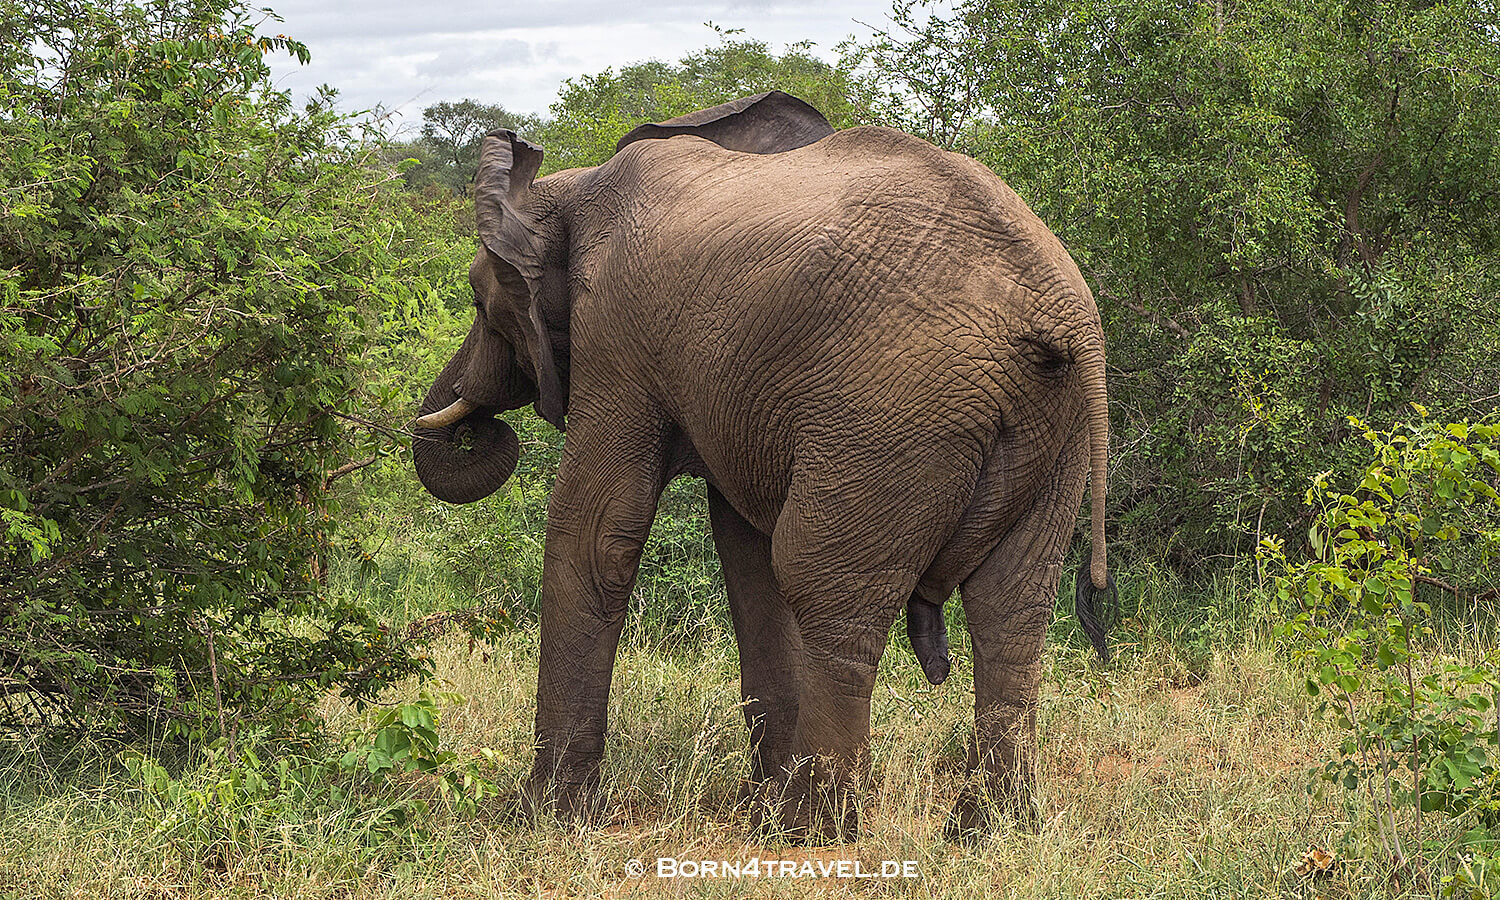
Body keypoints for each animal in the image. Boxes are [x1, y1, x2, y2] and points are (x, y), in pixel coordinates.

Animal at [411, 91, 1115, 842]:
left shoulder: (617, 332)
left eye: (479, 302)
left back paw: (816, 828)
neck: (572, 187)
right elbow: (745, 554)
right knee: (1011, 610)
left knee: (826, 585)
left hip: (896, 410)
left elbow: (598, 532)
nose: (479, 427)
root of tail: (1061, 311)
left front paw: (545, 818)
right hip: (1049, 429)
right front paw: (758, 800)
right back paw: (986, 829)